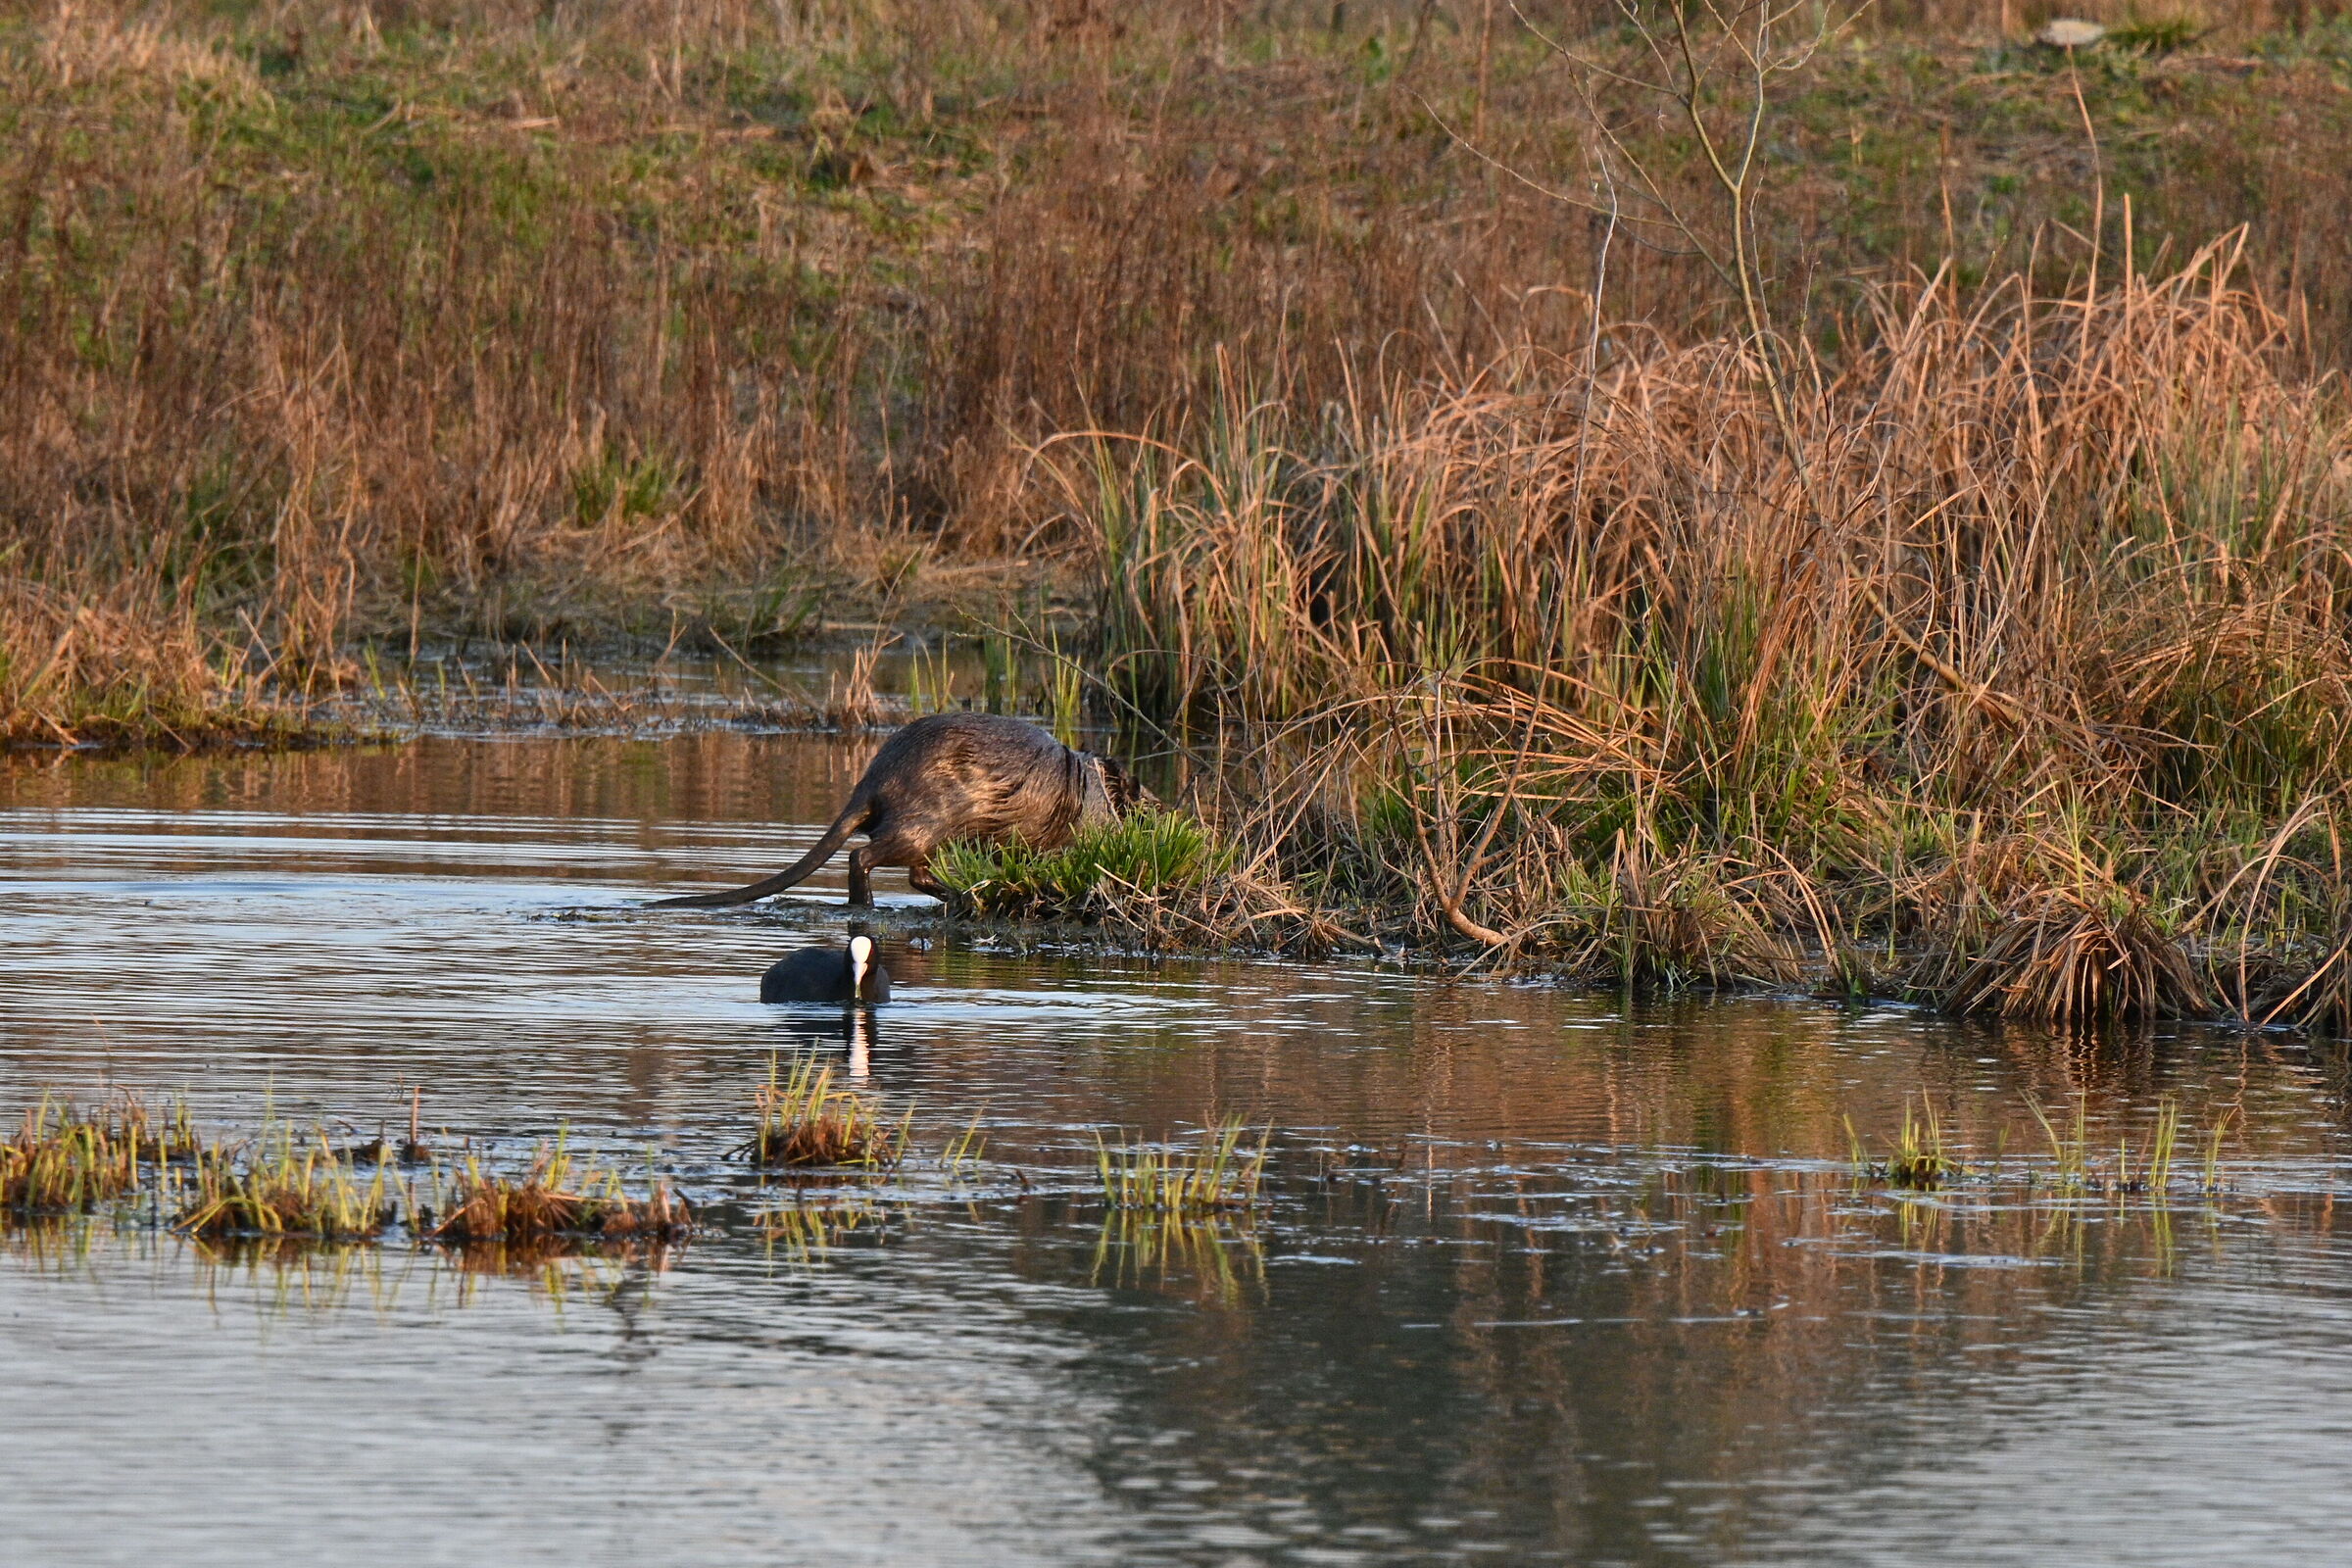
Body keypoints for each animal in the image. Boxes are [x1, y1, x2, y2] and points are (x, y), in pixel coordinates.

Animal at [655, 712, 1148, 908]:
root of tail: (870, 787)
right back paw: (869, 903)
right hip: (926, 822)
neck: (1083, 783)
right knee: (865, 856)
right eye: (1143, 808)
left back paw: (958, 895)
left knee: (916, 874)